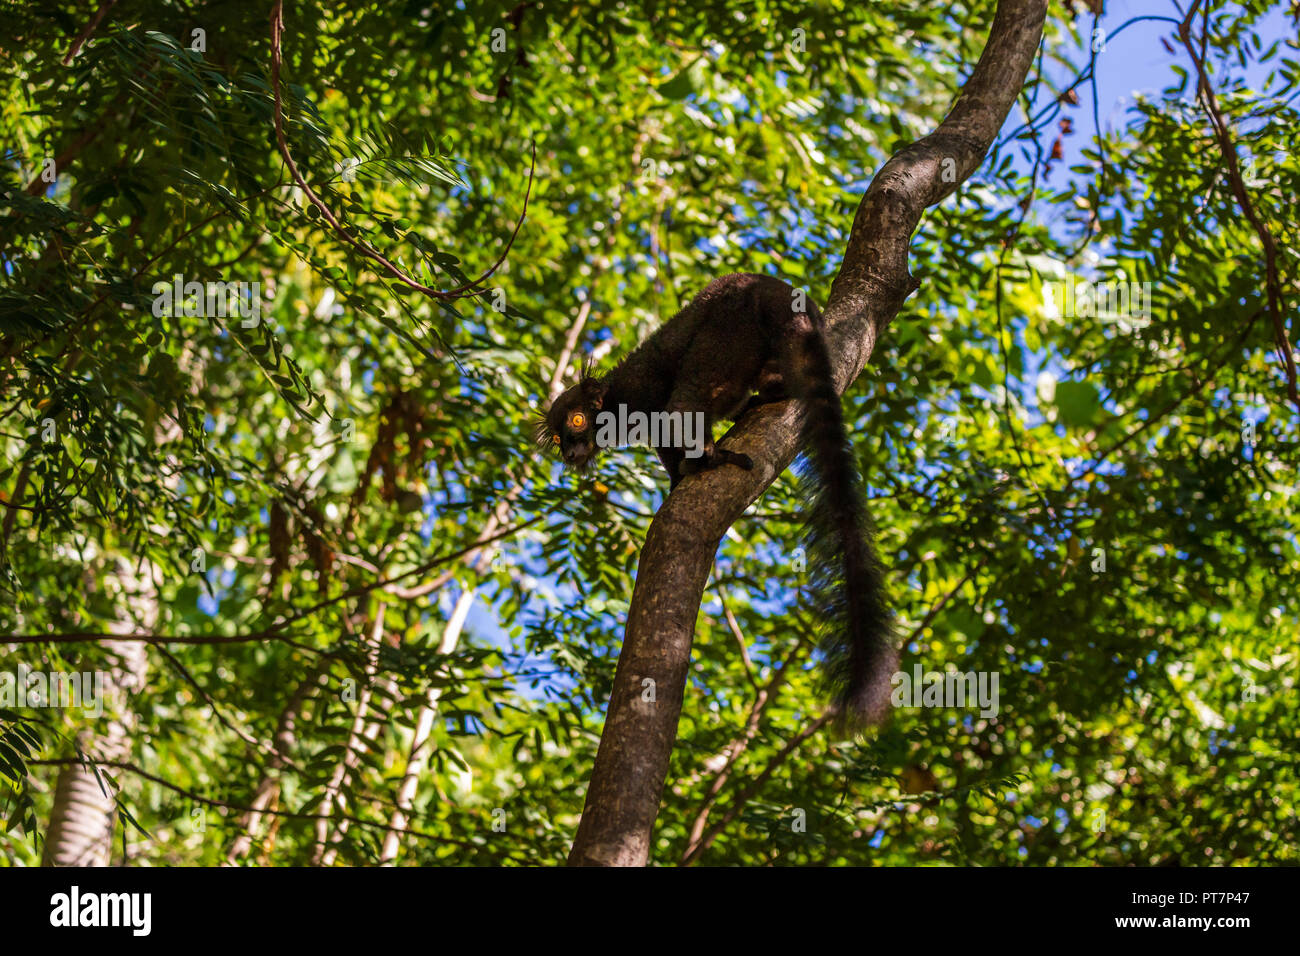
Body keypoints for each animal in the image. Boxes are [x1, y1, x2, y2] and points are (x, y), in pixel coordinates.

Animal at [537, 272, 897, 729]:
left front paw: (690, 466)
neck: (616, 399)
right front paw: (678, 478)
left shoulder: (643, 393)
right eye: (559, 438)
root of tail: (775, 291)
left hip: (730, 330)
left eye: (578, 421)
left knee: (689, 395)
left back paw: (710, 457)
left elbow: (672, 420)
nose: (570, 452)